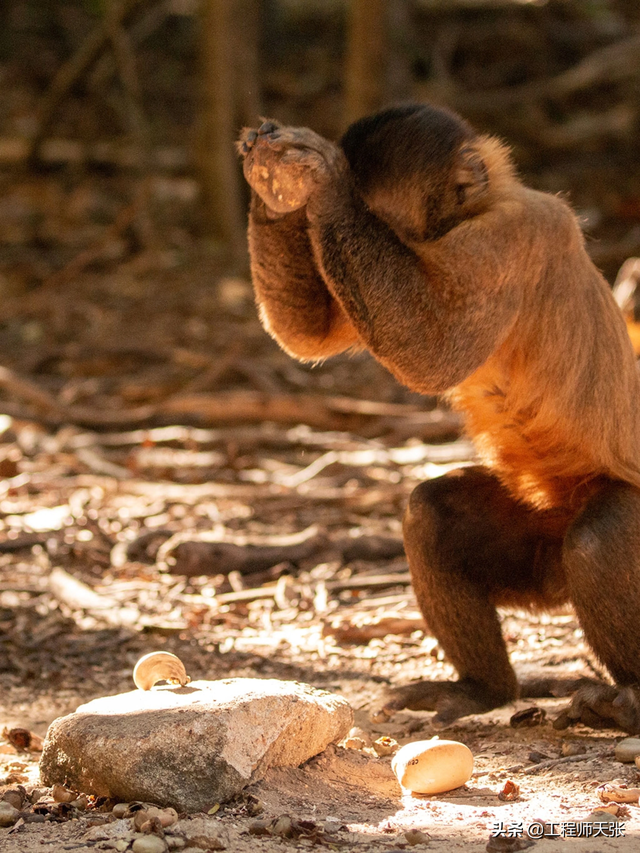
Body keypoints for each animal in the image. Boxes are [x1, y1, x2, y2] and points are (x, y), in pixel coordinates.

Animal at [236, 103, 640, 728]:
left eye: (376, 221)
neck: (478, 211)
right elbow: (310, 332)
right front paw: (273, 184)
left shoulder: (518, 234)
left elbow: (434, 352)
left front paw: (321, 182)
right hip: (541, 550)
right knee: (430, 515)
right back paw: (484, 691)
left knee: (598, 540)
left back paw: (627, 704)